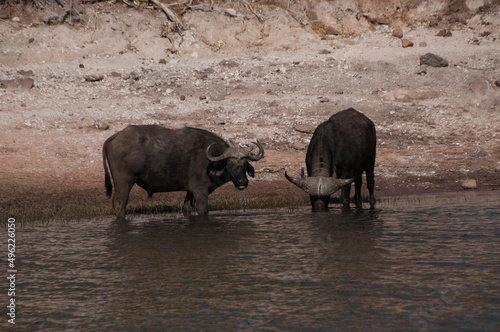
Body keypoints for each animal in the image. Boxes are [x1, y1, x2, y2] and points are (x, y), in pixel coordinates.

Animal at [102, 124, 266, 218]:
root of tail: (114, 137)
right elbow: (203, 210)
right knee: (121, 207)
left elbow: (186, 208)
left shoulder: (190, 190)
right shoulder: (200, 191)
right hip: (124, 183)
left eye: (245, 164)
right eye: (230, 163)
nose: (242, 182)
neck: (211, 162)